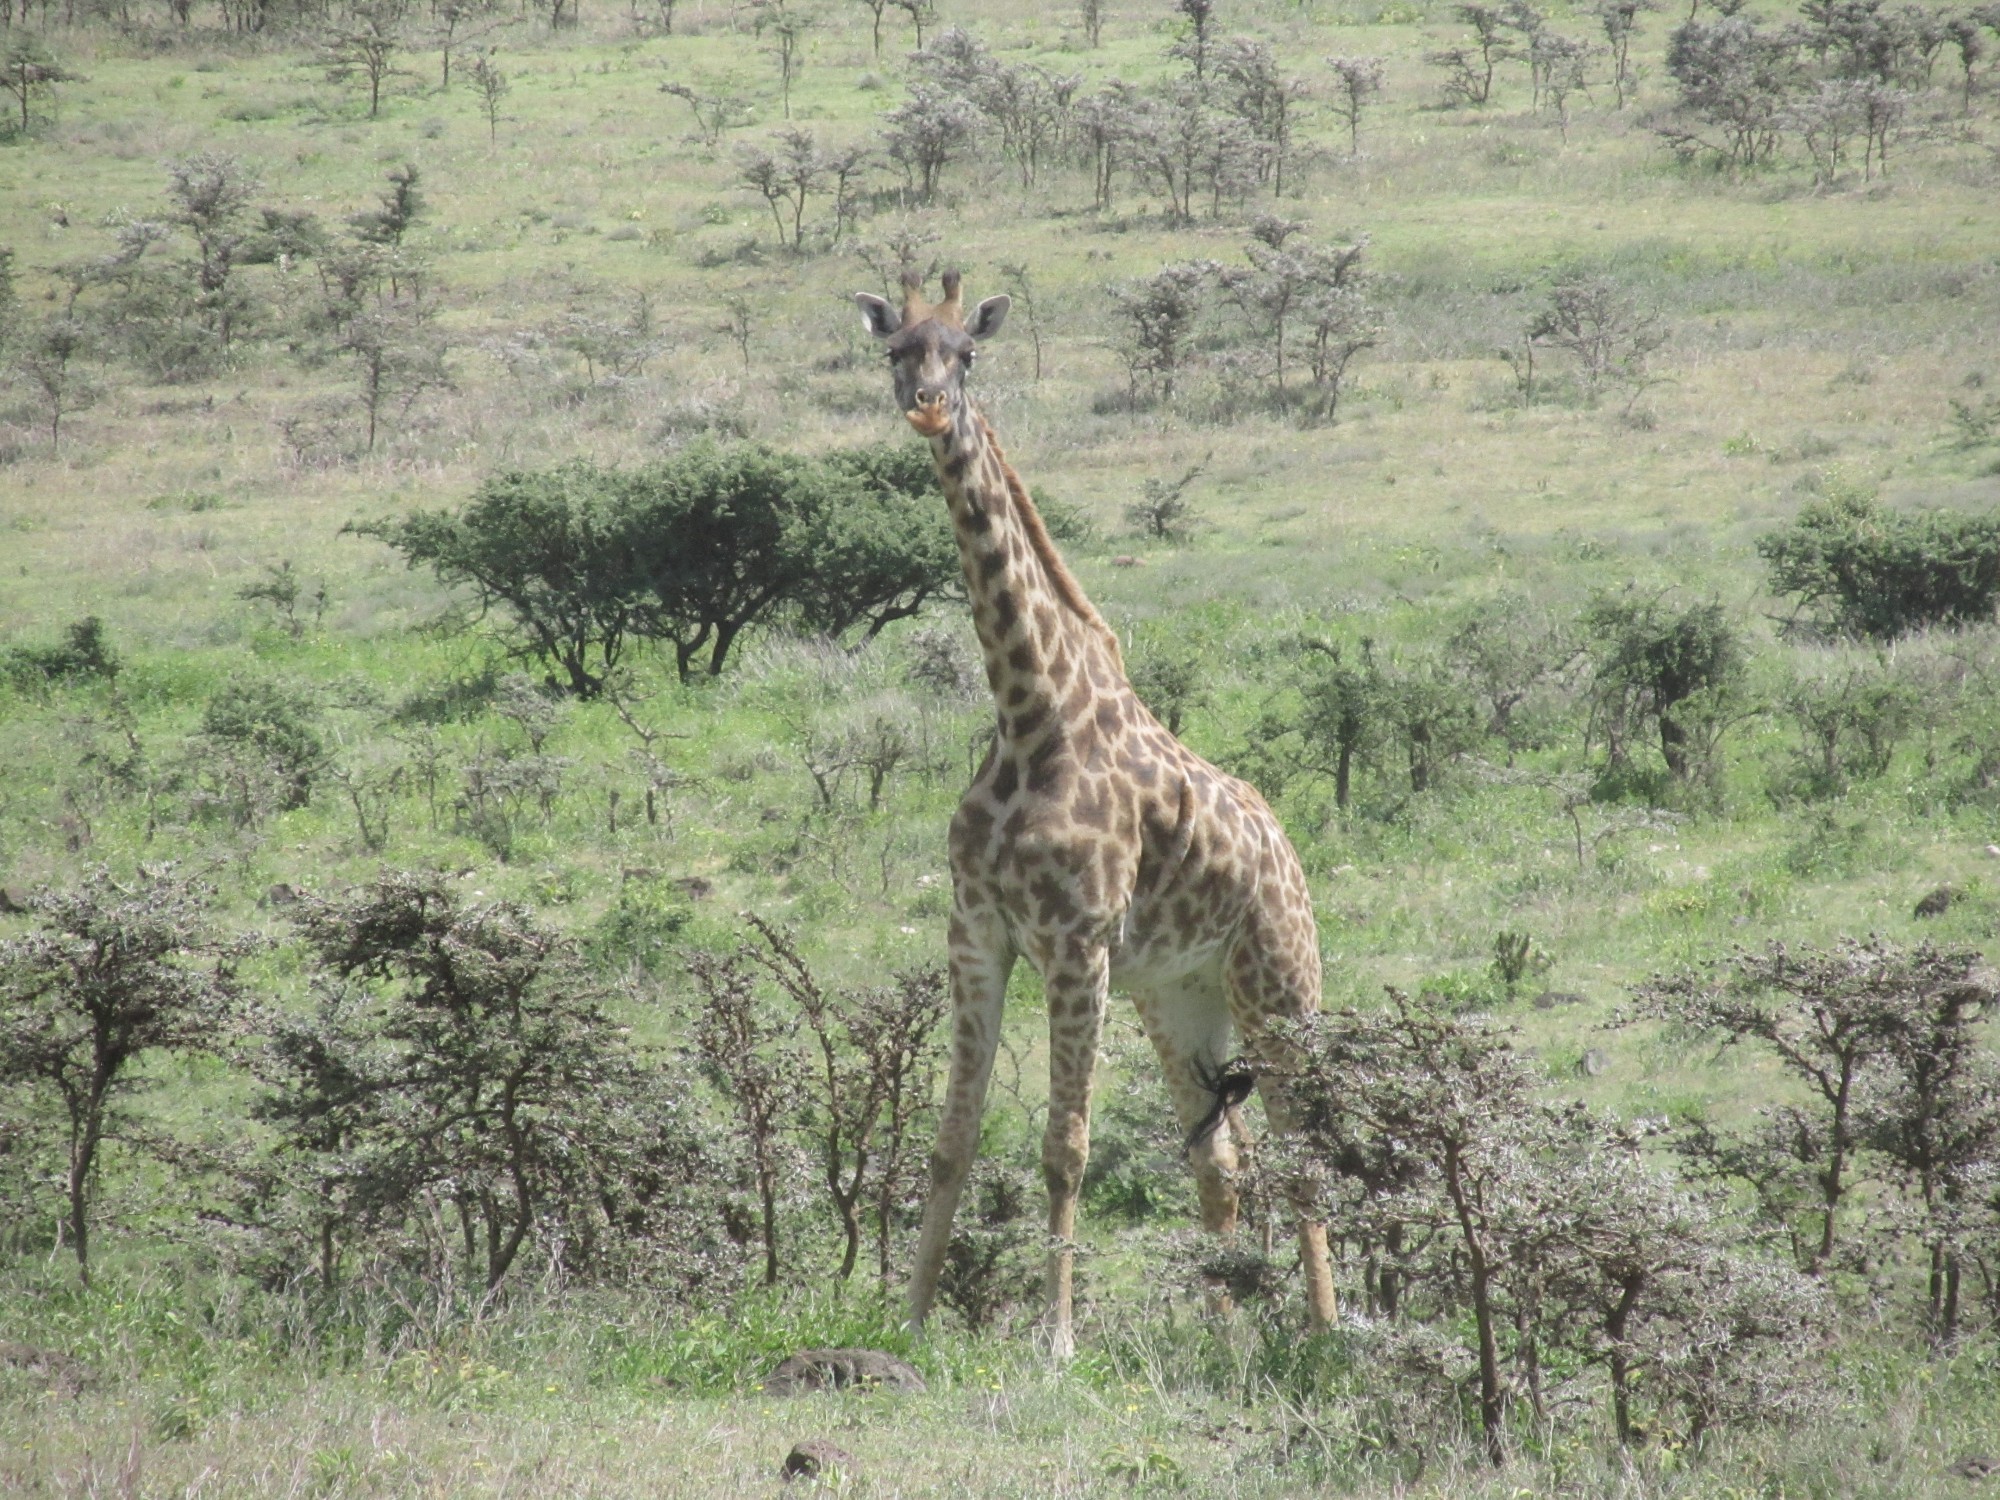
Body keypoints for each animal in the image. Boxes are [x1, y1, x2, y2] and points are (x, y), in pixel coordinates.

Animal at [852, 274, 1336, 1360]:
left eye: (967, 354)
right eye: (896, 349)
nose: (929, 407)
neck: (1031, 712)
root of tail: (1287, 853)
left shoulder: (1075, 945)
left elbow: (1062, 1147)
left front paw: (1056, 1340)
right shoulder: (976, 933)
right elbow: (949, 1142)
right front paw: (908, 1318)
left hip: (1278, 982)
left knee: (1306, 1150)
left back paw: (1332, 1333)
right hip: (1179, 996)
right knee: (1220, 1156)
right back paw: (1224, 1330)